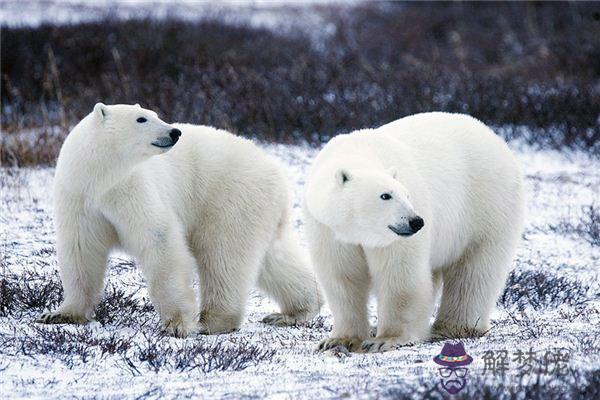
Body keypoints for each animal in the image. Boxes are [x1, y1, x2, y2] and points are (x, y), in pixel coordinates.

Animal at [38, 102, 324, 334]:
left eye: (155, 114)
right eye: (141, 118)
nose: (174, 132)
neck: (100, 178)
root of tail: (278, 173)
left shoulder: (132, 188)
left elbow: (159, 239)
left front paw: (176, 324)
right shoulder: (79, 196)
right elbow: (81, 250)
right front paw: (61, 314)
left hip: (230, 198)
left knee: (222, 255)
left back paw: (212, 321)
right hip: (258, 209)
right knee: (274, 259)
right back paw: (295, 311)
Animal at [308, 112, 524, 354]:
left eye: (407, 194)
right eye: (385, 195)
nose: (416, 222)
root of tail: (493, 137)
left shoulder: (395, 238)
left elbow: (400, 275)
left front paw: (385, 339)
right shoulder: (328, 229)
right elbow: (342, 277)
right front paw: (338, 340)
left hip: (486, 205)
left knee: (474, 270)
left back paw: (453, 328)